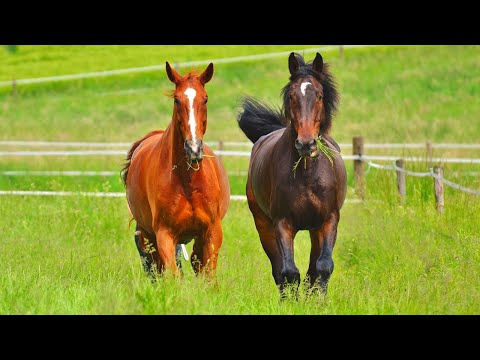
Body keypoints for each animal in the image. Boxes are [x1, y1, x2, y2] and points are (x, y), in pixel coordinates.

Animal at [123, 61, 230, 278]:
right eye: (176, 100)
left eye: (205, 99)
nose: (193, 148)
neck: (187, 182)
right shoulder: (164, 235)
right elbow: (173, 275)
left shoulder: (212, 232)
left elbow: (208, 276)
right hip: (148, 236)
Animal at [237, 51, 346, 298]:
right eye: (292, 96)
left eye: (319, 95)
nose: (306, 144)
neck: (307, 176)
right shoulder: (282, 223)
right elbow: (288, 272)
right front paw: (292, 302)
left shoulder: (329, 219)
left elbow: (323, 266)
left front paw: (319, 301)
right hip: (264, 225)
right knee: (279, 269)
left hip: (315, 229)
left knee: (313, 268)